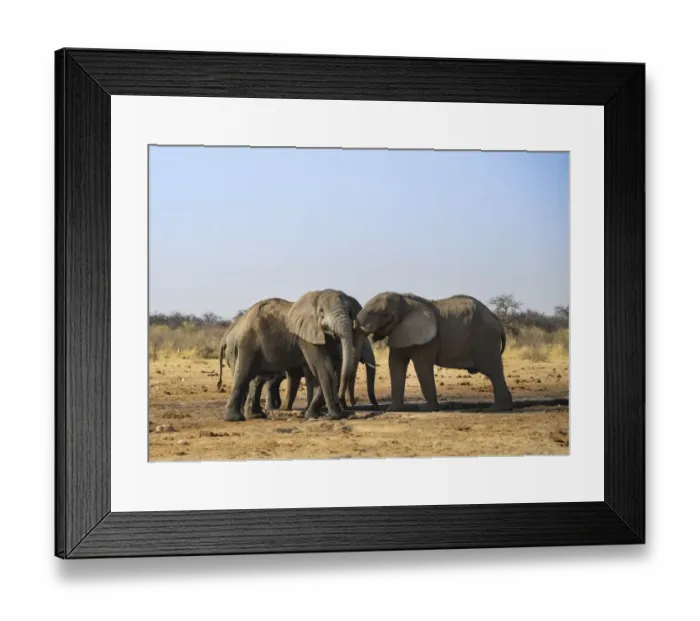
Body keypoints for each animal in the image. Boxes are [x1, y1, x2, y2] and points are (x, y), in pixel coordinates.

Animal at [217, 290, 360, 421]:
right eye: (321, 312)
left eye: (350, 312)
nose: (341, 403)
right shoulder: (307, 337)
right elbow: (323, 367)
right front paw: (333, 416)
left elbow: (327, 368)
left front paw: (313, 415)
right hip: (248, 344)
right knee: (243, 374)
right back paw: (235, 418)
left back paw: (256, 415)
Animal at [356, 292, 513, 412]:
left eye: (384, 314)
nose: (376, 408)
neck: (405, 299)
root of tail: (496, 319)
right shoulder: (399, 332)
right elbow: (395, 364)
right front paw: (394, 409)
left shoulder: (429, 339)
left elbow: (422, 367)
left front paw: (427, 409)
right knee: (494, 372)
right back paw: (504, 407)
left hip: (485, 339)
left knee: (493, 371)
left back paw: (496, 409)